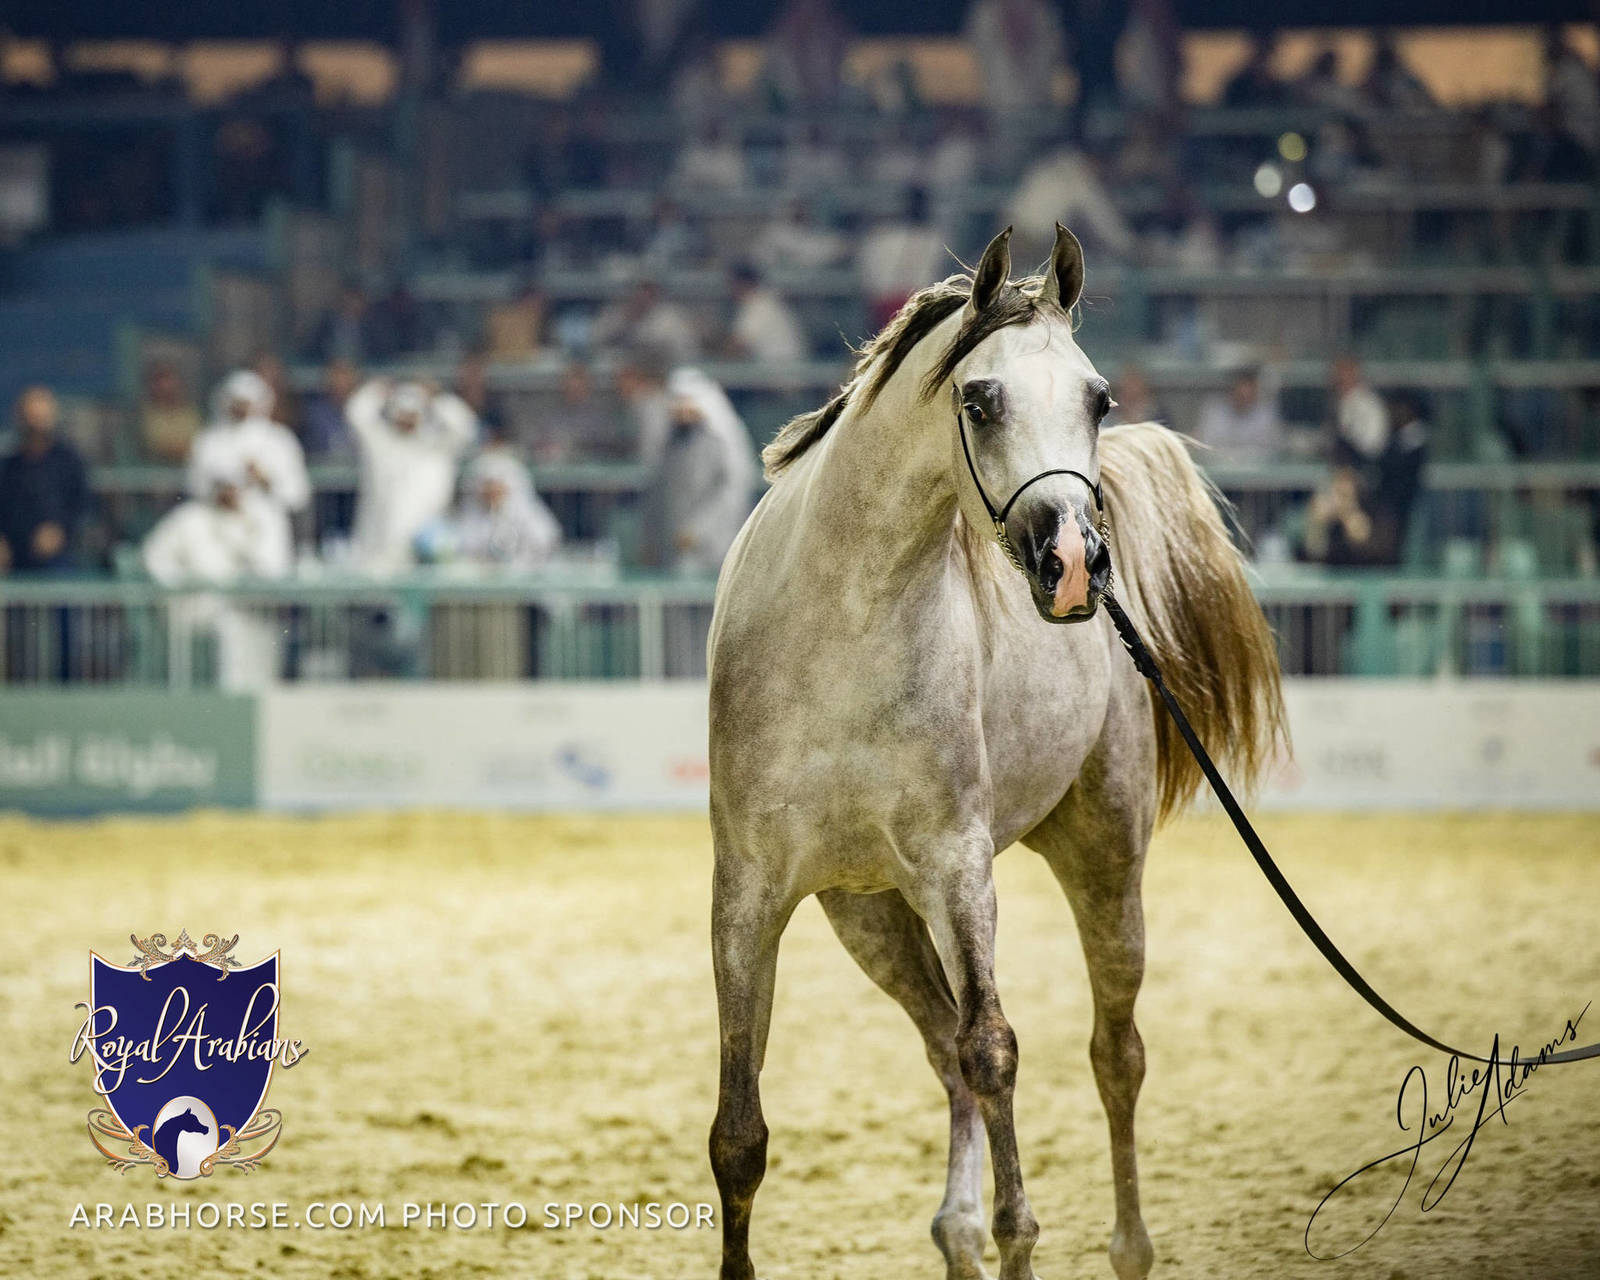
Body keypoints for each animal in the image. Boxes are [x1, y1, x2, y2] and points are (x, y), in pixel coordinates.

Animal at [705, 224, 1285, 1280]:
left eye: (1098, 399)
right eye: (980, 400)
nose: (1074, 564)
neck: (838, 633)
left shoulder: (959, 869)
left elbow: (996, 1050)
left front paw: (1020, 1236)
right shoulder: (749, 896)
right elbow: (740, 1130)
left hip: (1101, 865)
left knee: (1112, 1055)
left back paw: (1121, 1245)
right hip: (871, 916)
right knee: (943, 1047)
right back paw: (957, 1230)